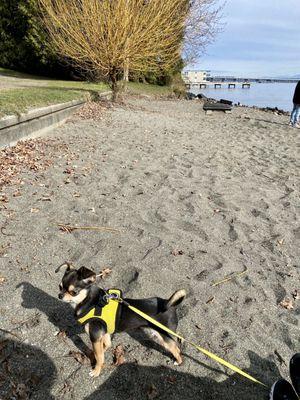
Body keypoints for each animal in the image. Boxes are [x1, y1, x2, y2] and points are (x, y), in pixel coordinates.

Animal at [56, 264, 185, 376]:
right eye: (60, 287)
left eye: (73, 292)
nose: (60, 295)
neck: (90, 303)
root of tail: (169, 304)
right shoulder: (104, 333)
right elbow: (105, 347)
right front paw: (98, 353)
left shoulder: (95, 336)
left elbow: (99, 356)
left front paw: (96, 370)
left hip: (165, 336)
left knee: (176, 349)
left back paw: (178, 361)